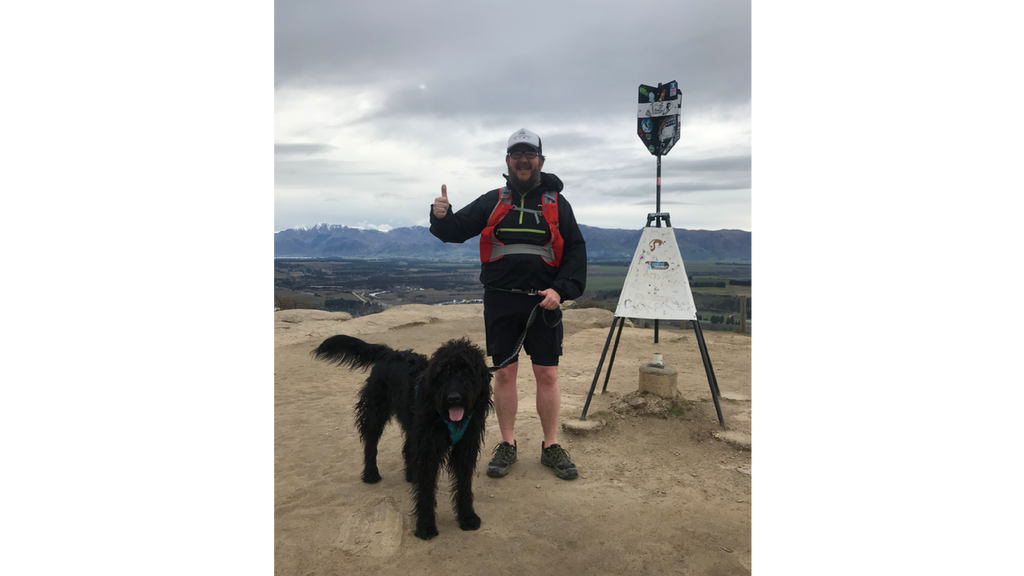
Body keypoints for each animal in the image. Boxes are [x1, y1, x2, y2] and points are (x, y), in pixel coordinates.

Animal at [307, 332, 491, 537]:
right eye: (443, 373)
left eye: (468, 372)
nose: (454, 398)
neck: (446, 418)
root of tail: (389, 353)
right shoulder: (428, 449)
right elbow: (426, 488)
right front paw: (425, 525)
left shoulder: (465, 448)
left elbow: (464, 484)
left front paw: (467, 517)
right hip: (376, 412)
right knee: (370, 444)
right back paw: (371, 473)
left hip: (411, 422)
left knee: (407, 448)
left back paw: (411, 475)